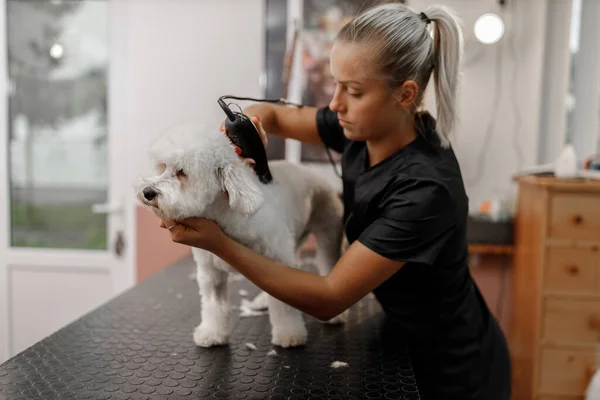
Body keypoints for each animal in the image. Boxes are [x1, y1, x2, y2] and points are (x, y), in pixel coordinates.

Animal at [134, 124, 344, 346]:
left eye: (182, 172)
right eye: (162, 166)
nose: (147, 192)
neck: (224, 215)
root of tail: (312, 172)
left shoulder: (278, 257)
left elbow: (284, 305)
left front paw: (290, 334)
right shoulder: (211, 272)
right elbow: (213, 304)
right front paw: (212, 333)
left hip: (327, 232)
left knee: (328, 262)